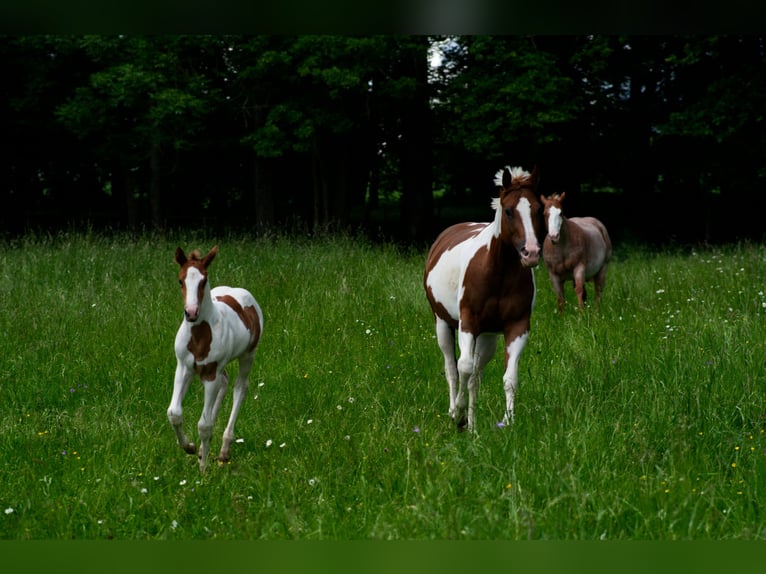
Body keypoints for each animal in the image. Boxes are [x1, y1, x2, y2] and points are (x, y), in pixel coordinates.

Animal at [168, 245, 264, 474]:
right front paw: (190, 447)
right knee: (225, 382)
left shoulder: (210, 373)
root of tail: (240, 291)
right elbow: (174, 413)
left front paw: (203, 469)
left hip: (247, 356)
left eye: (203, 280)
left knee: (240, 388)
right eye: (180, 280)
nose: (191, 313)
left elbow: (204, 425)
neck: (199, 334)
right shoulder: (184, 367)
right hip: (217, 368)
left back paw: (224, 449)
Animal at [426, 165, 544, 432]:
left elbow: (509, 377)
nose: (531, 253)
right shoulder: (468, 323)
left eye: (538, 209)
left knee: (476, 377)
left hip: (488, 337)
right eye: (509, 211)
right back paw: (456, 414)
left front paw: (508, 421)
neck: (498, 272)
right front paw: (458, 414)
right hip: (443, 323)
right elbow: (463, 367)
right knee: (453, 369)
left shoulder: (517, 327)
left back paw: (471, 425)